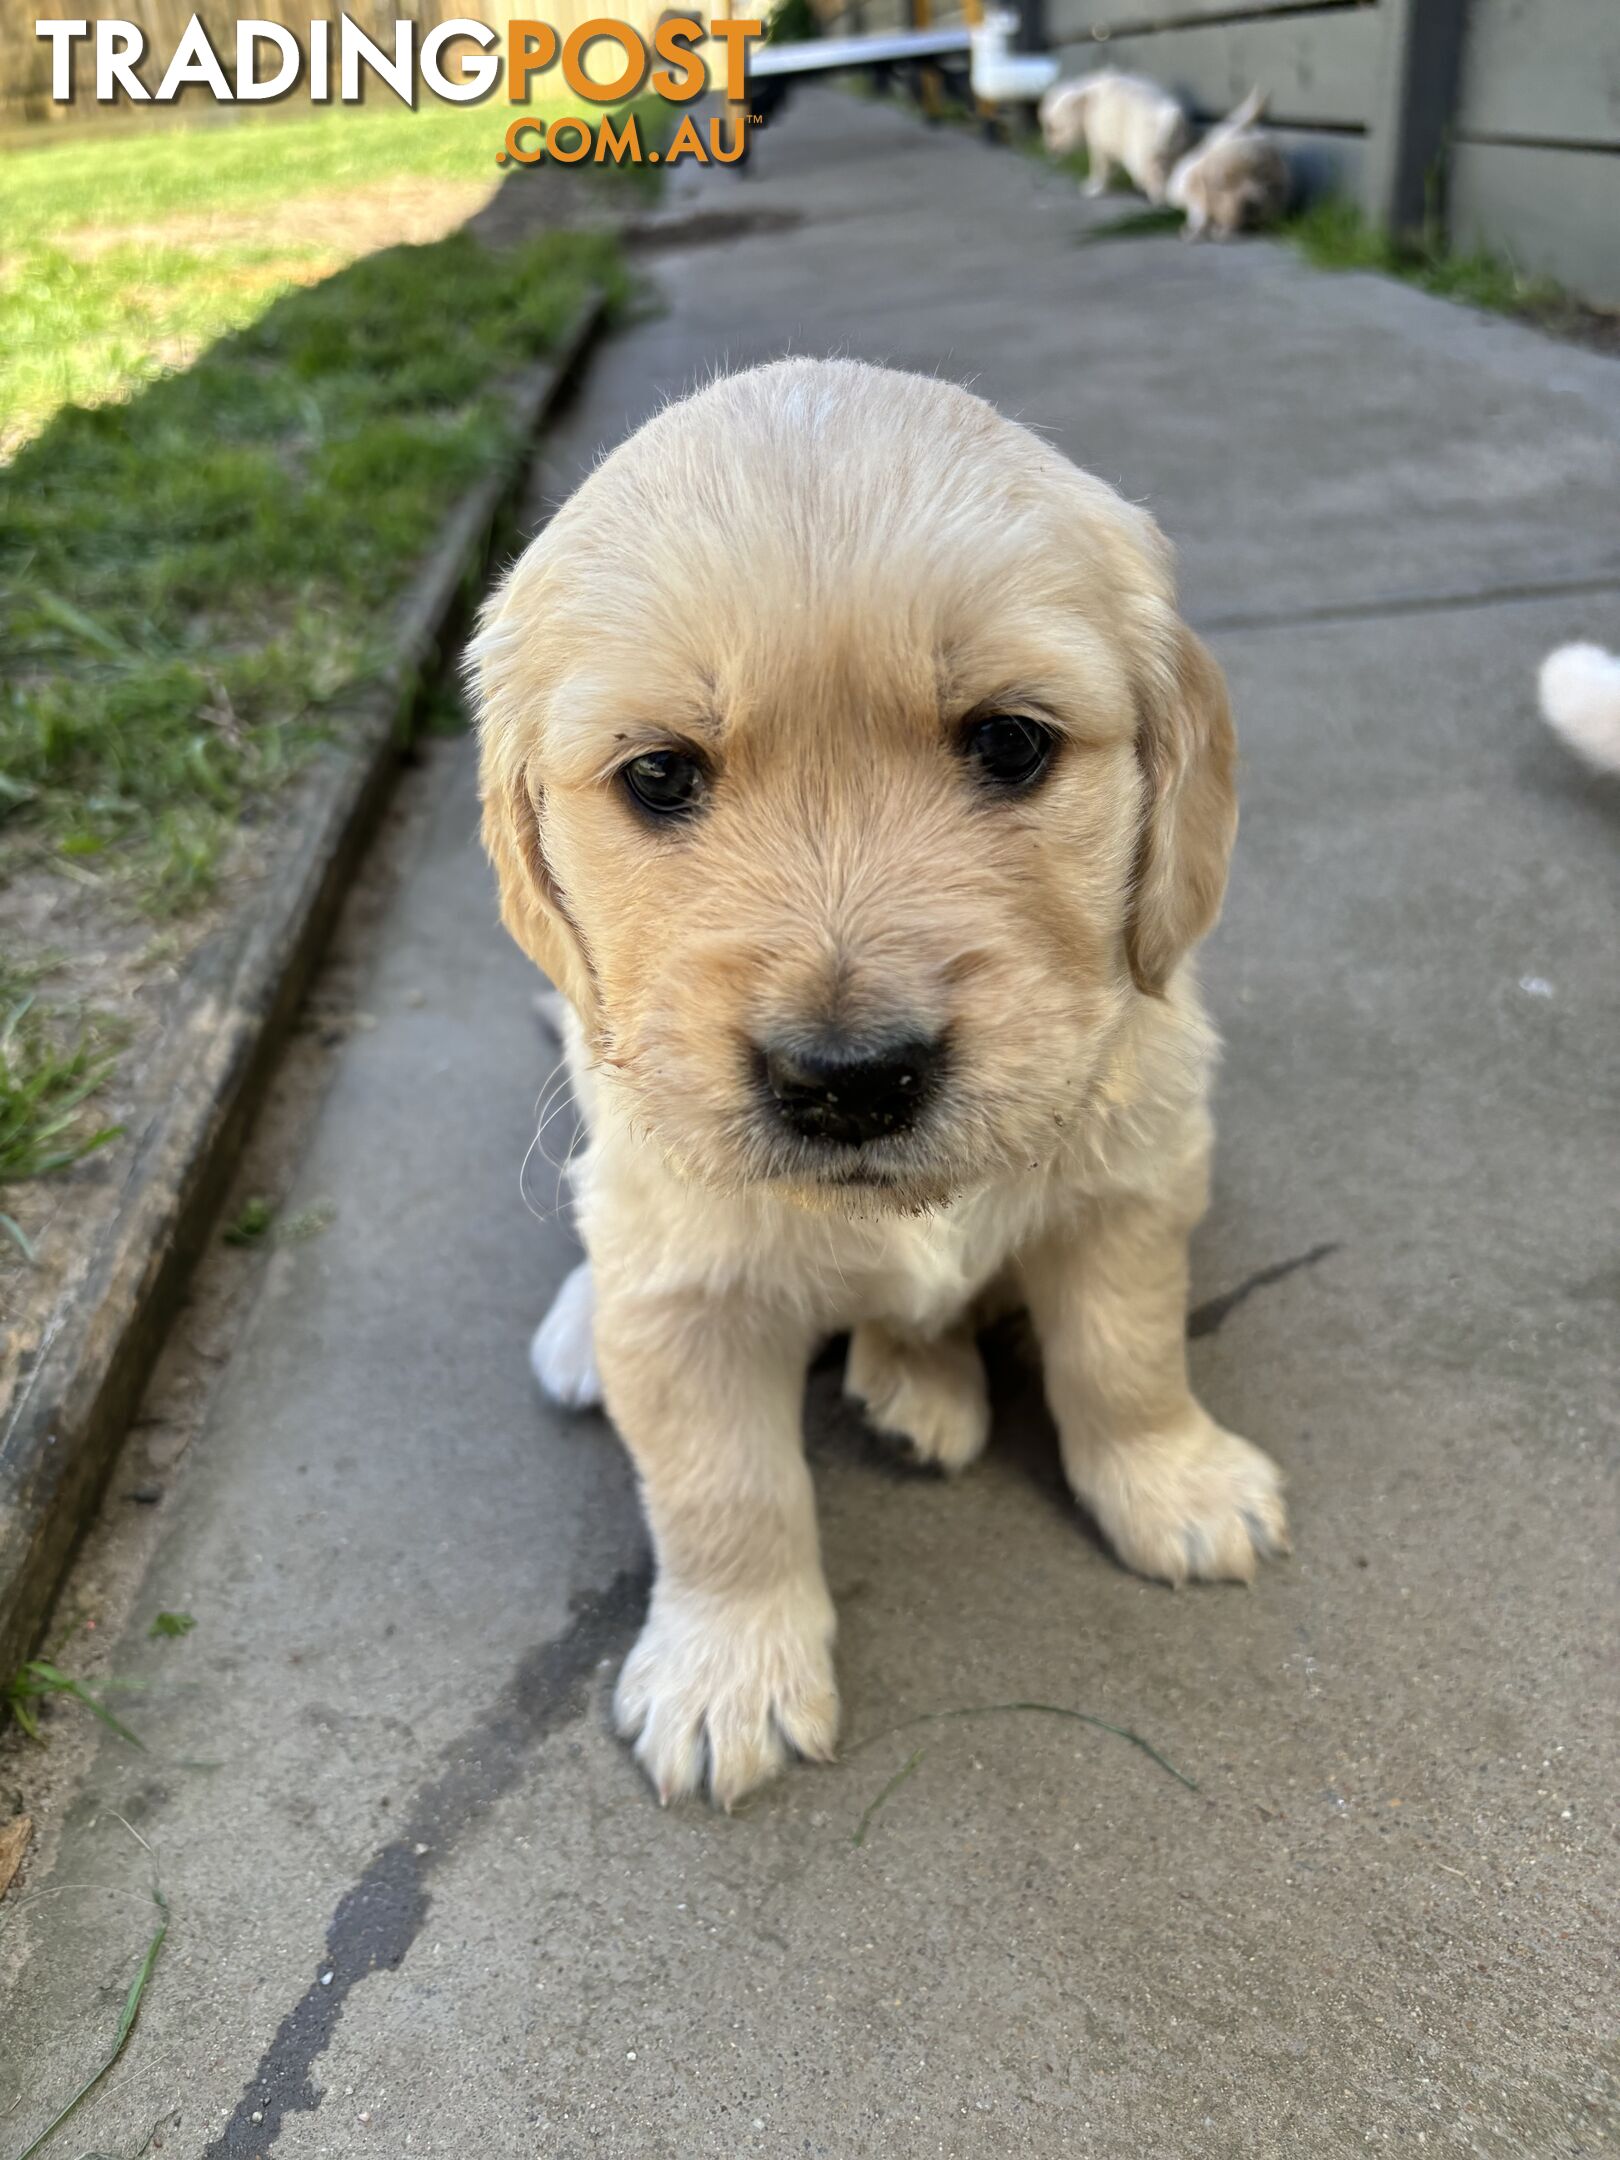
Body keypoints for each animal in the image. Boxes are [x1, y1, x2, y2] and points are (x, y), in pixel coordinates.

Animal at [473, 354, 1296, 1805]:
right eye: (660, 773)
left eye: (1011, 744)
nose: (849, 1080)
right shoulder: (682, 1293)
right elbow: (723, 1492)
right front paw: (727, 1671)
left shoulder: (1134, 1190)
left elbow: (1126, 1357)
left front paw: (1176, 1484)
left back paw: (921, 1380)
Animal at [1041, 67, 1192, 206]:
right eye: (1049, 127)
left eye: (1056, 128)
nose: (1051, 149)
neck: (1087, 99)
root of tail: (1170, 119)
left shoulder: (1098, 127)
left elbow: (1100, 160)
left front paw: (1091, 187)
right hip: (1176, 143)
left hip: (1143, 138)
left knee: (1147, 167)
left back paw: (1157, 196)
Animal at [1166, 88, 1296, 238]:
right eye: (1225, 184)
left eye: (1267, 185)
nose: (1252, 206)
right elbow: (1200, 208)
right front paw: (1198, 228)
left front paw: (1219, 229)